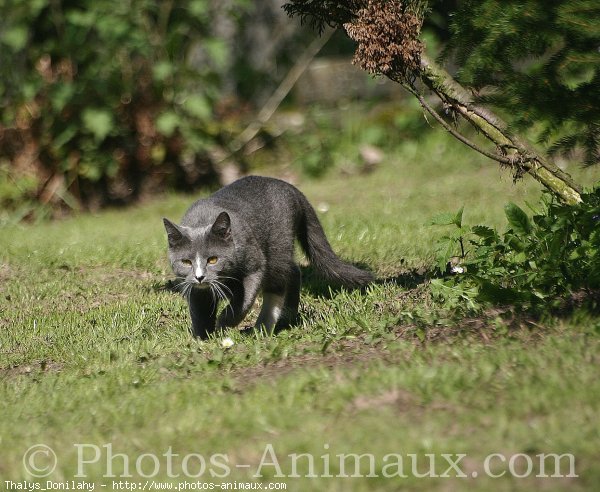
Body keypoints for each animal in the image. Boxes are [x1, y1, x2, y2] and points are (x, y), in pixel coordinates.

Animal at [162, 177, 372, 338]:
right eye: (186, 262)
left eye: (213, 259)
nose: (200, 276)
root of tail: (291, 188)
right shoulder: (195, 288)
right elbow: (199, 311)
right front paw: (203, 338)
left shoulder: (254, 264)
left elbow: (243, 301)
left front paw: (223, 323)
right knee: (293, 271)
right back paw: (286, 316)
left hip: (278, 245)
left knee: (278, 283)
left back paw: (266, 326)